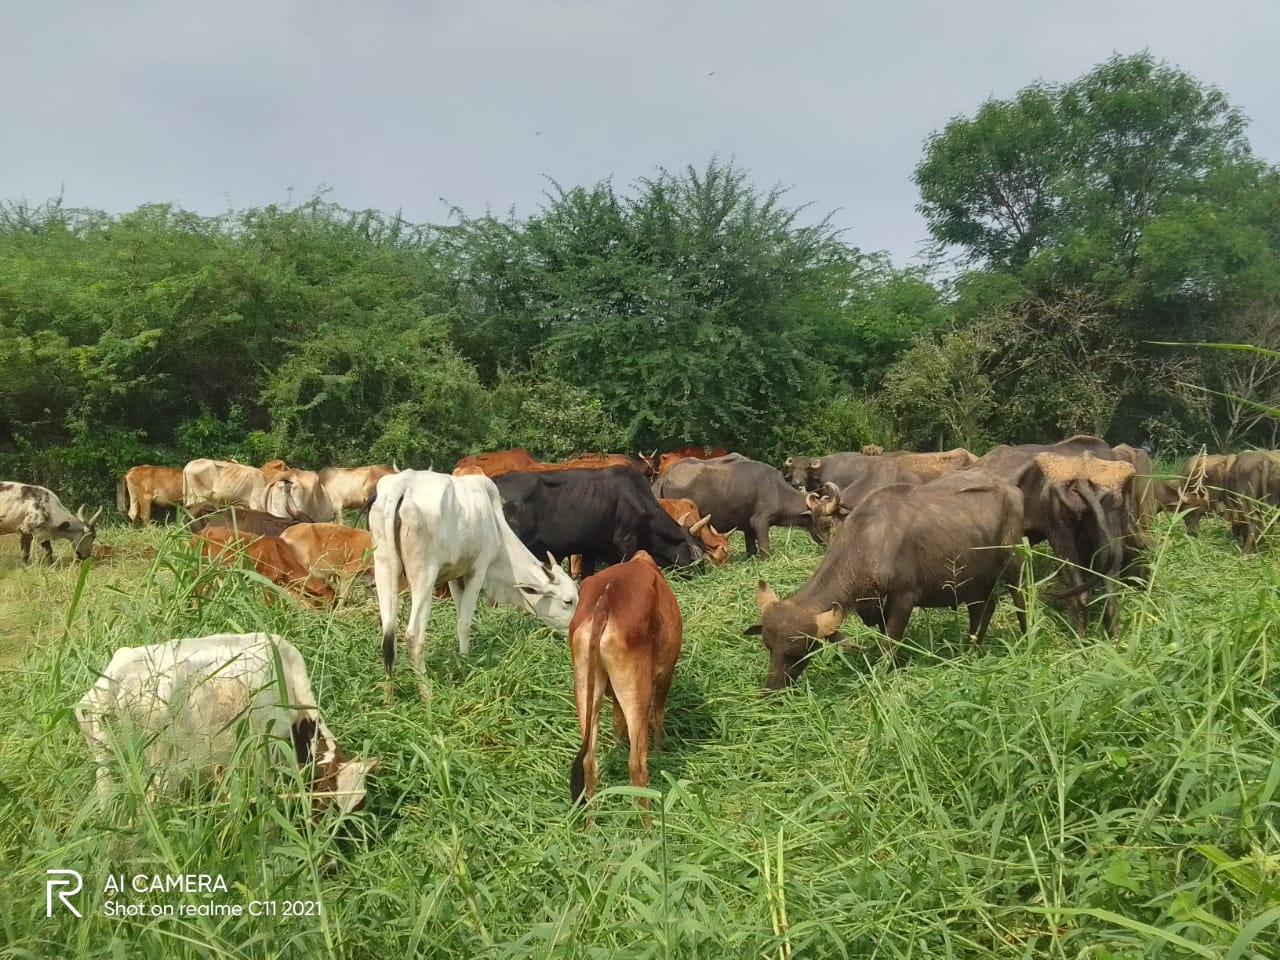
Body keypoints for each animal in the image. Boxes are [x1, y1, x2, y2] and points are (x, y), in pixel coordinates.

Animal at [75, 632, 377, 813]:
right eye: (327, 801)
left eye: (357, 807)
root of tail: (113, 682)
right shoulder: (265, 757)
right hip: (159, 776)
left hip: (107, 767)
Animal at [372, 470, 580, 701]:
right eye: (568, 601)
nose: (575, 630)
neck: (497, 527)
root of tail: (404, 483)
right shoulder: (477, 571)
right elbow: (464, 624)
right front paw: (466, 667)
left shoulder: (455, 577)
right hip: (424, 575)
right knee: (412, 635)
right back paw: (427, 694)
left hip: (383, 567)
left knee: (387, 635)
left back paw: (389, 696)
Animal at [568, 551, 682, 823]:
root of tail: (605, 601)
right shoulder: (666, 673)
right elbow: (658, 715)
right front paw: (660, 752)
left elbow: (617, 723)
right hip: (636, 690)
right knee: (637, 766)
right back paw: (648, 827)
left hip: (585, 686)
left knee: (589, 760)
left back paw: (591, 825)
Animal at [651, 456, 818, 558]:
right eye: (824, 521)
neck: (778, 491)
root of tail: (665, 477)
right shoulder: (760, 521)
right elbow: (764, 546)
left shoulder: (748, 526)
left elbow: (751, 547)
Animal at [745, 470, 1026, 688]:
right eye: (768, 646)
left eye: (799, 652)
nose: (772, 688)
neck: (868, 542)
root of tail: (1011, 489)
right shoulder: (877, 607)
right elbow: (886, 638)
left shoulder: (904, 600)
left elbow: (890, 640)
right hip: (975, 581)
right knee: (983, 609)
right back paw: (970, 649)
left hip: (1014, 564)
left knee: (1020, 601)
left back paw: (1025, 639)